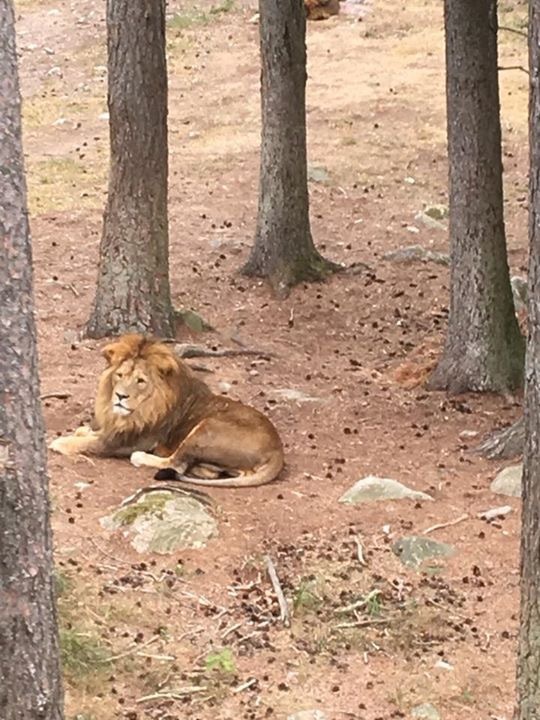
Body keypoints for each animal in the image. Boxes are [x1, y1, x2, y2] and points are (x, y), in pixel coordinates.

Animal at [48, 334, 284, 486]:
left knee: (176, 464)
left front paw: (59, 442)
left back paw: (142, 458)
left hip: (207, 427)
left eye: (140, 381)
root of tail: (278, 450)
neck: (141, 410)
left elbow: (87, 443)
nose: (120, 396)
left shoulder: (125, 442)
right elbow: (89, 432)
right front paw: (83, 430)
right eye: (120, 375)